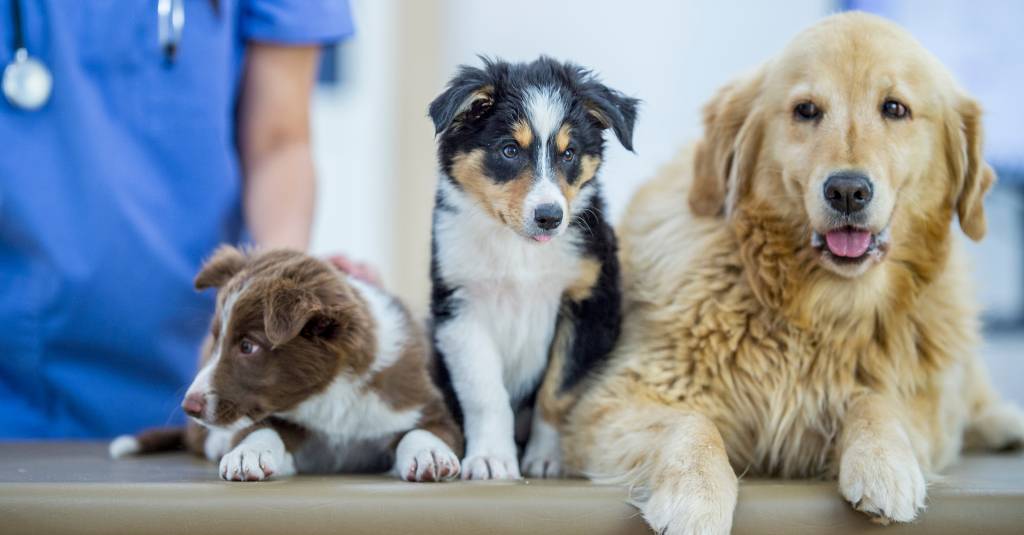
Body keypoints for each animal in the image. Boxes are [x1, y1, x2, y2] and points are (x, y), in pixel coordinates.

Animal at [110, 245, 462, 479]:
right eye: (216, 338)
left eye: (248, 346)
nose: (189, 406)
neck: (332, 395)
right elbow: (262, 430)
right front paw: (246, 454)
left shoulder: (422, 403)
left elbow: (424, 431)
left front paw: (430, 453)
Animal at [428, 58, 634, 479]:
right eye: (509, 150)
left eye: (569, 153)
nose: (550, 217)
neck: (519, 250)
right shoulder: (459, 306)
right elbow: (485, 392)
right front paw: (491, 458)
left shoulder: (590, 303)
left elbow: (557, 390)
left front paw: (546, 457)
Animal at [569, 12, 1024, 532]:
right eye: (806, 110)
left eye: (895, 108)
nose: (847, 191)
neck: (815, 306)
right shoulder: (612, 401)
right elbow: (691, 422)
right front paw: (695, 493)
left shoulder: (923, 409)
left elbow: (876, 400)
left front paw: (884, 463)